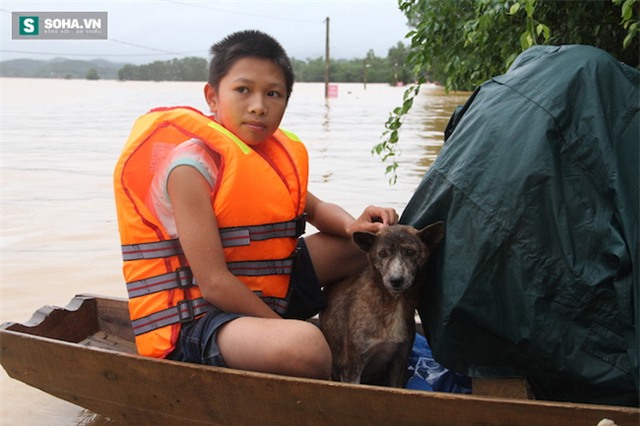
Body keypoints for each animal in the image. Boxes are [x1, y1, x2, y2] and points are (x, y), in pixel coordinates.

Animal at [320, 223, 444, 386]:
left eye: (410, 252)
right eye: (383, 253)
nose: (396, 280)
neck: (392, 302)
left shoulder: (399, 361)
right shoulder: (352, 366)